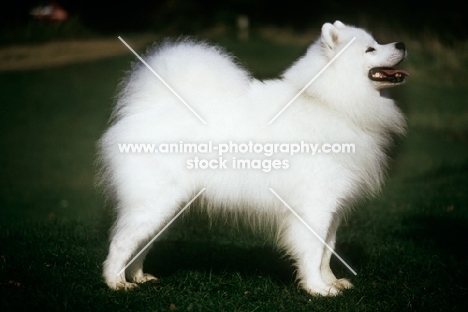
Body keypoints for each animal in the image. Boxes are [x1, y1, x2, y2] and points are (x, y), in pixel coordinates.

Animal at [98, 20, 406, 296]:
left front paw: (331, 282)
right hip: (153, 204)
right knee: (119, 243)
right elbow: (312, 251)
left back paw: (139, 278)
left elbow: (327, 251)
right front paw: (317, 289)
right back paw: (117, 283)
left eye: (376, 42)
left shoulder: (334, 207)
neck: (330, 104)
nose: (401, 44)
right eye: (370, 49)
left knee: (141, 244)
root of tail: (147, 107)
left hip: (168, 209)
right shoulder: (314, 207)